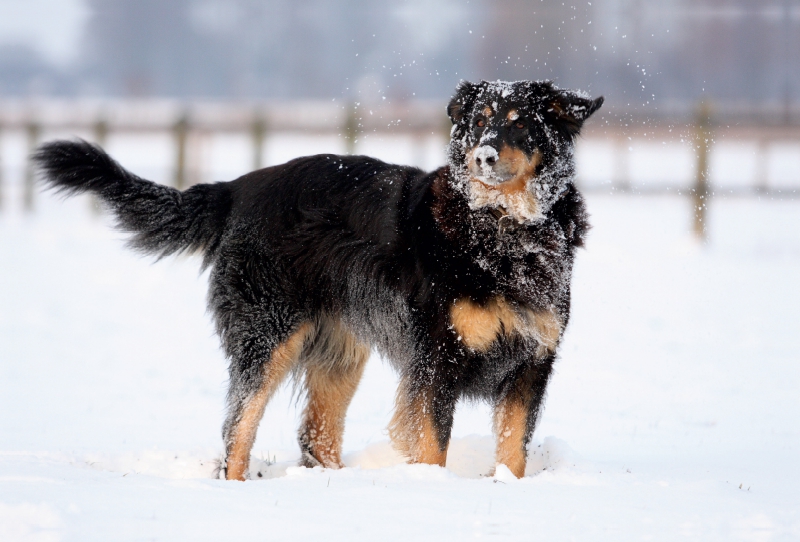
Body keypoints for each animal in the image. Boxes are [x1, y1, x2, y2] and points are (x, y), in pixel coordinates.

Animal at [36, 79, 600, 480]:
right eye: (479, 121)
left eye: (519, 125)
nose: (481, 155)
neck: (503, 229)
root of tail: (237, 189)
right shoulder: (437, 357)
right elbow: (432, 443)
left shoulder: (533, 361)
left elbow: (514, 450)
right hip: (267, 333)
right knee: (237, 428)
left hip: (340, 349)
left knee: (315, 434)